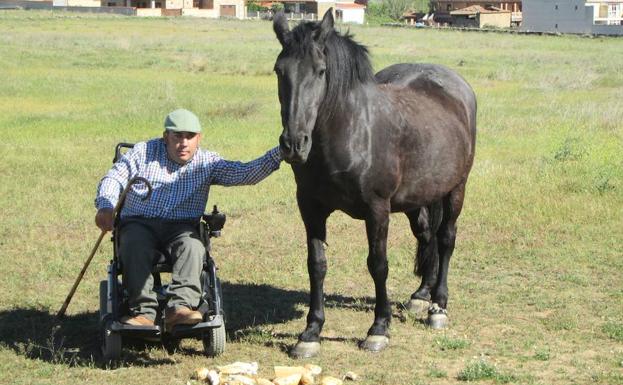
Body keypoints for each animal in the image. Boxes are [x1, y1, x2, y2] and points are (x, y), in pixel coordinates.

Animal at [272, 9, 478, 356]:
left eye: (321, 71)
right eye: (279, 71)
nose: (293, 144)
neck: (351, 132)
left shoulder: (377, 209)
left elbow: (378, 264)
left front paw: (379, 328)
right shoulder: (310, 209)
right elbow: (316, 264)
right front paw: (311, 332)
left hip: (456, 189)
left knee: (446, 239)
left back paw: (438, 306)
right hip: (417, 198)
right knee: (427, 236)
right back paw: (422, 295)